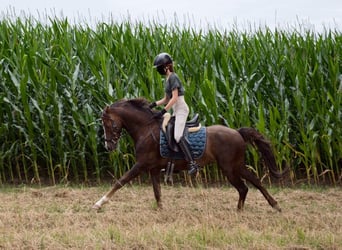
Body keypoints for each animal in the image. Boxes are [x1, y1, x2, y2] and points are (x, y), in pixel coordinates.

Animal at [92, 97, 284, 211]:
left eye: (109, 123)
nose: (109, 146)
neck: (145, 129)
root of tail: (237, 132)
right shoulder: (153, 169)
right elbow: (157, 192)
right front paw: (161, 210)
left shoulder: (140, 165)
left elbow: (120, 181)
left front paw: (99, 203)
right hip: (236, 166)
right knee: (254, 182)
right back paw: (271, 205)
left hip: (229, 168)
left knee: (244, 187)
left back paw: (245, 209)